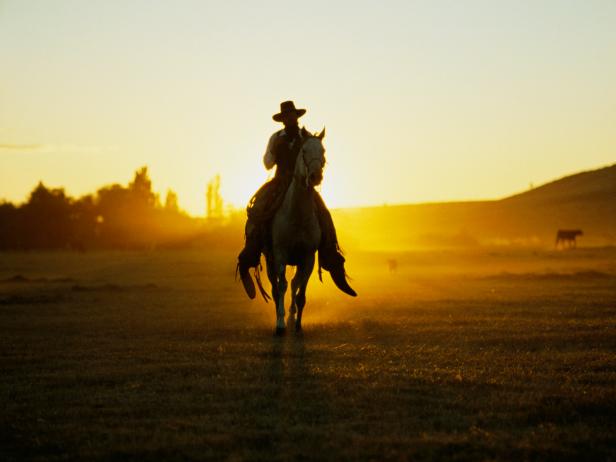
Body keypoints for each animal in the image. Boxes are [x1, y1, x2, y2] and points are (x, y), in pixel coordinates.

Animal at [262, 126, 330, 336]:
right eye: (304, 151)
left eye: (323, 151)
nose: (315, 177)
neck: (297, 215)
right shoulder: (280, 254)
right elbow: (281, 286)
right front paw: (280, 323)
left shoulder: (308, 257)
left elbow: (300, 291)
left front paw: (298, 324)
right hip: (269, 259)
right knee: (276, 286)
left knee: (294, 283)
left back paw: (292, 314)